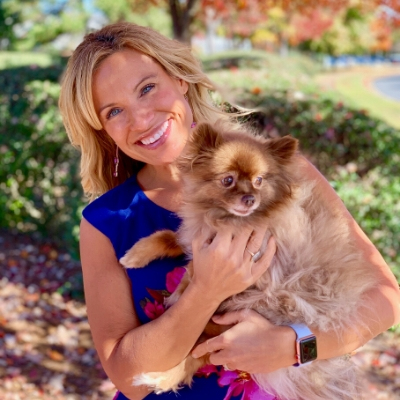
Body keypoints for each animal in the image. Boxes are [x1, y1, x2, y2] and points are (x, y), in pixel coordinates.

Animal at [120, 122, 376, 400]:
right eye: (227, 180)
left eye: (259, 181)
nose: (250, 199)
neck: (227, 219)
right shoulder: (202, 234)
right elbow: (173, 238)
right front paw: (136, 255)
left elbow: (193, 268)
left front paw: (180, 291)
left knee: (197, 355)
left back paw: (159, 378)